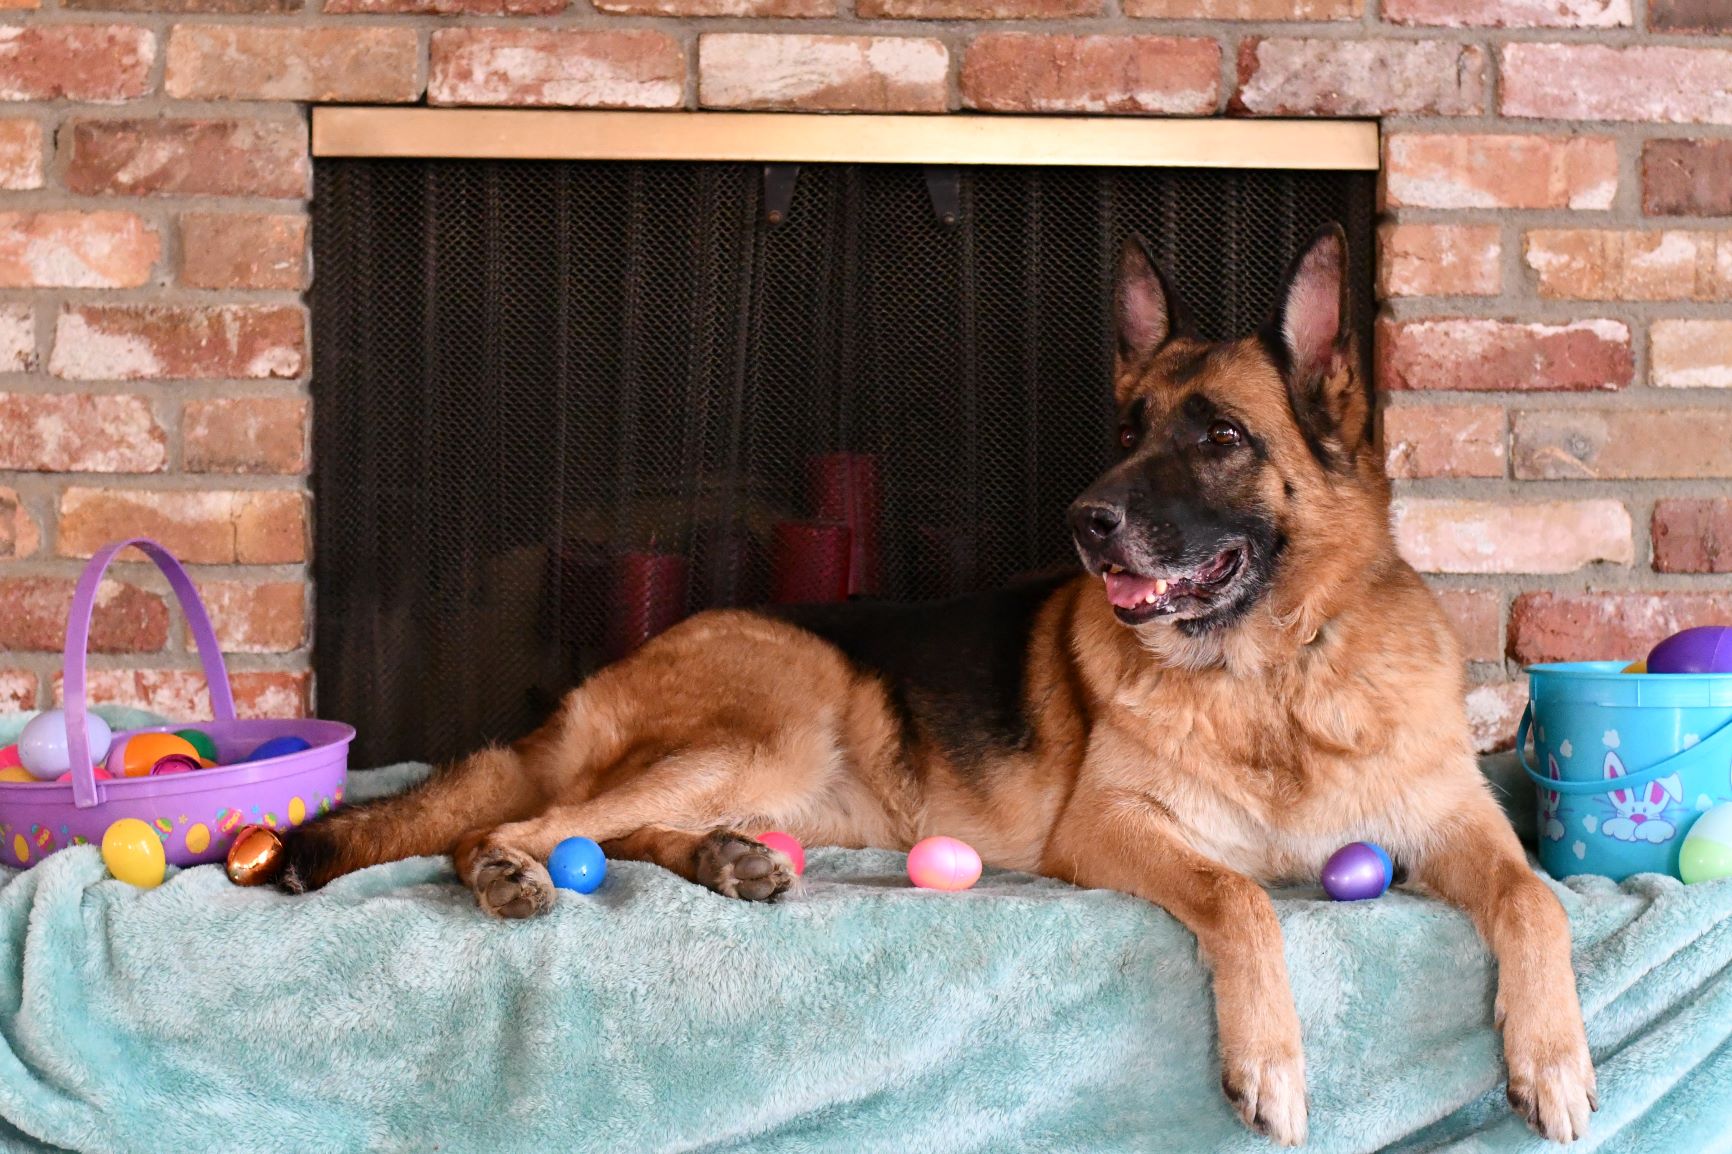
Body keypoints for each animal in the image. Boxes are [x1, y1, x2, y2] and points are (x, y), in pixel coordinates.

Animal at [277, 225, 1586, 1143]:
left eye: (1219, 435)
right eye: (1127, 426)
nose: (1085, 521)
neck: (1269, 670)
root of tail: (602, 674)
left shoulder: (1453, 819)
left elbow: (1536, 898)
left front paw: (1557, 1058)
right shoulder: (1112, 829)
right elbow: (1242, 894)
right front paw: (1269, 1058)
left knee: (618, 830)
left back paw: (725, 860)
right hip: (780, 714)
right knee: (520, 822)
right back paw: (512, 866)